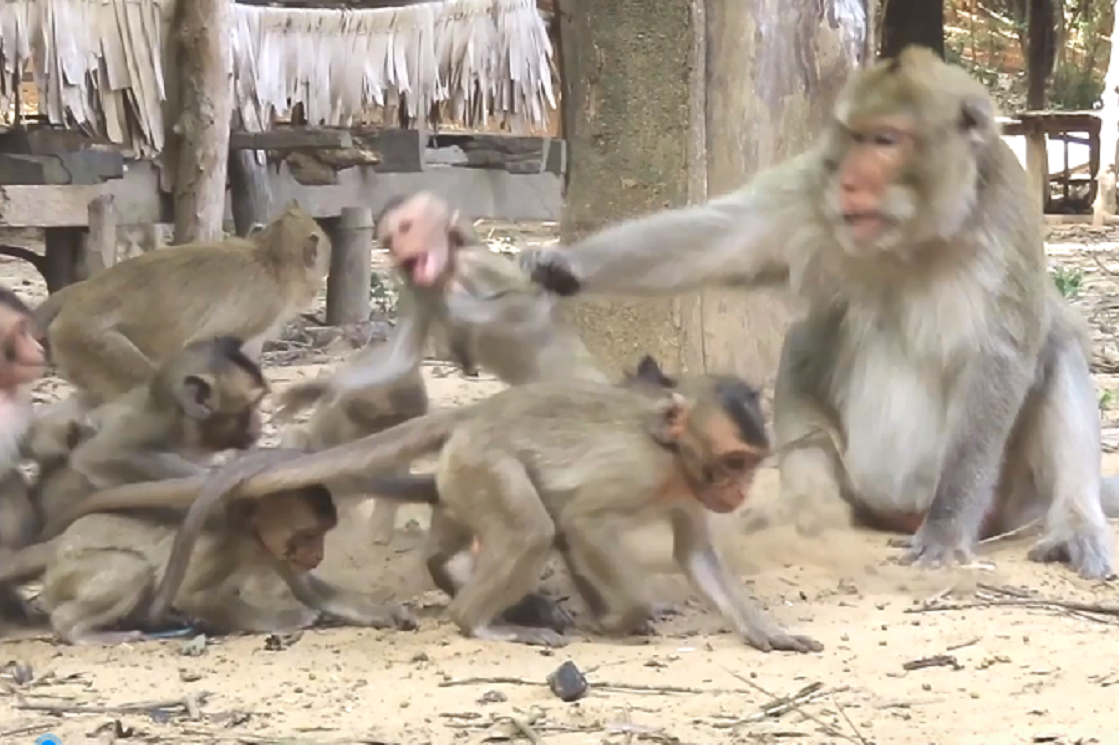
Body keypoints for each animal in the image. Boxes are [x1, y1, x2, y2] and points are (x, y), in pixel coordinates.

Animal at [519, 46, 1119, 581]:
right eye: (853, 136)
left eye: (885, 140)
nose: (850, 181)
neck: (913, 237)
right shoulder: (815, 184)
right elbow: (729, 237)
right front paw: (563, 267)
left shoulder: (1006, 214)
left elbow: (1003, 355)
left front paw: (948, 526)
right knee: (810, 336)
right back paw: (808, 508)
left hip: (1013, 496)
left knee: (1056, 343)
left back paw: (1073, 524)